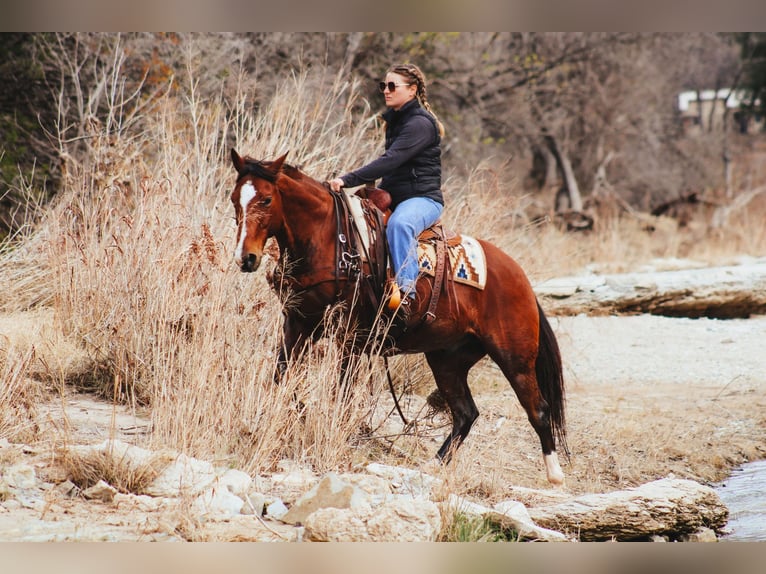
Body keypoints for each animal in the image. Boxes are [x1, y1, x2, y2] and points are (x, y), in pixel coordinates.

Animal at [230, 148, 568, 486]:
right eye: (235, 199)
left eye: (266, 200)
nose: (246, 258)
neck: (328, 238)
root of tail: (521, 278)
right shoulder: (298, 323)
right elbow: (281, 376)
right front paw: (302, 416)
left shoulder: (349, 335)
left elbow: (342, 392)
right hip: (447, 360)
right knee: (465, 413)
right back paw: (434, 464)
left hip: (514, 358)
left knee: (538, 409)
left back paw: (554, 474)